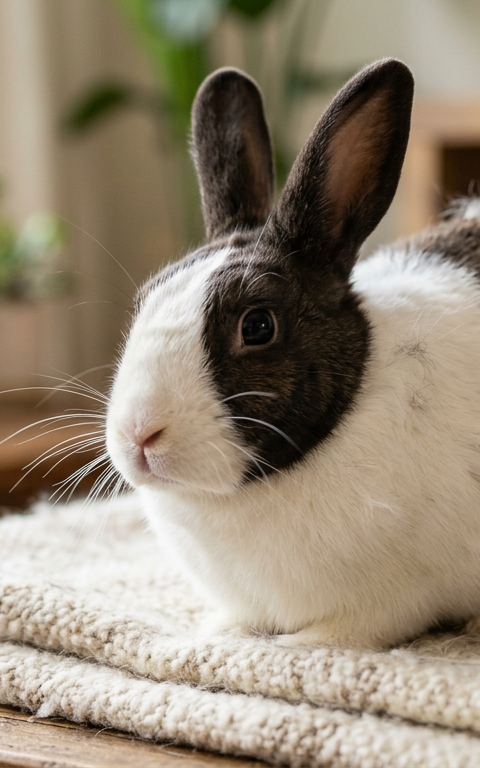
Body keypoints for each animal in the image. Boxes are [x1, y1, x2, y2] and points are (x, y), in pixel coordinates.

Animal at [106, 58, 480, 650]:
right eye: (144, 300)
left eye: (257, 326)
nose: (139, 435)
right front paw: (217, 634)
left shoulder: (389, 605)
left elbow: (336, 635)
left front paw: (291, 649)